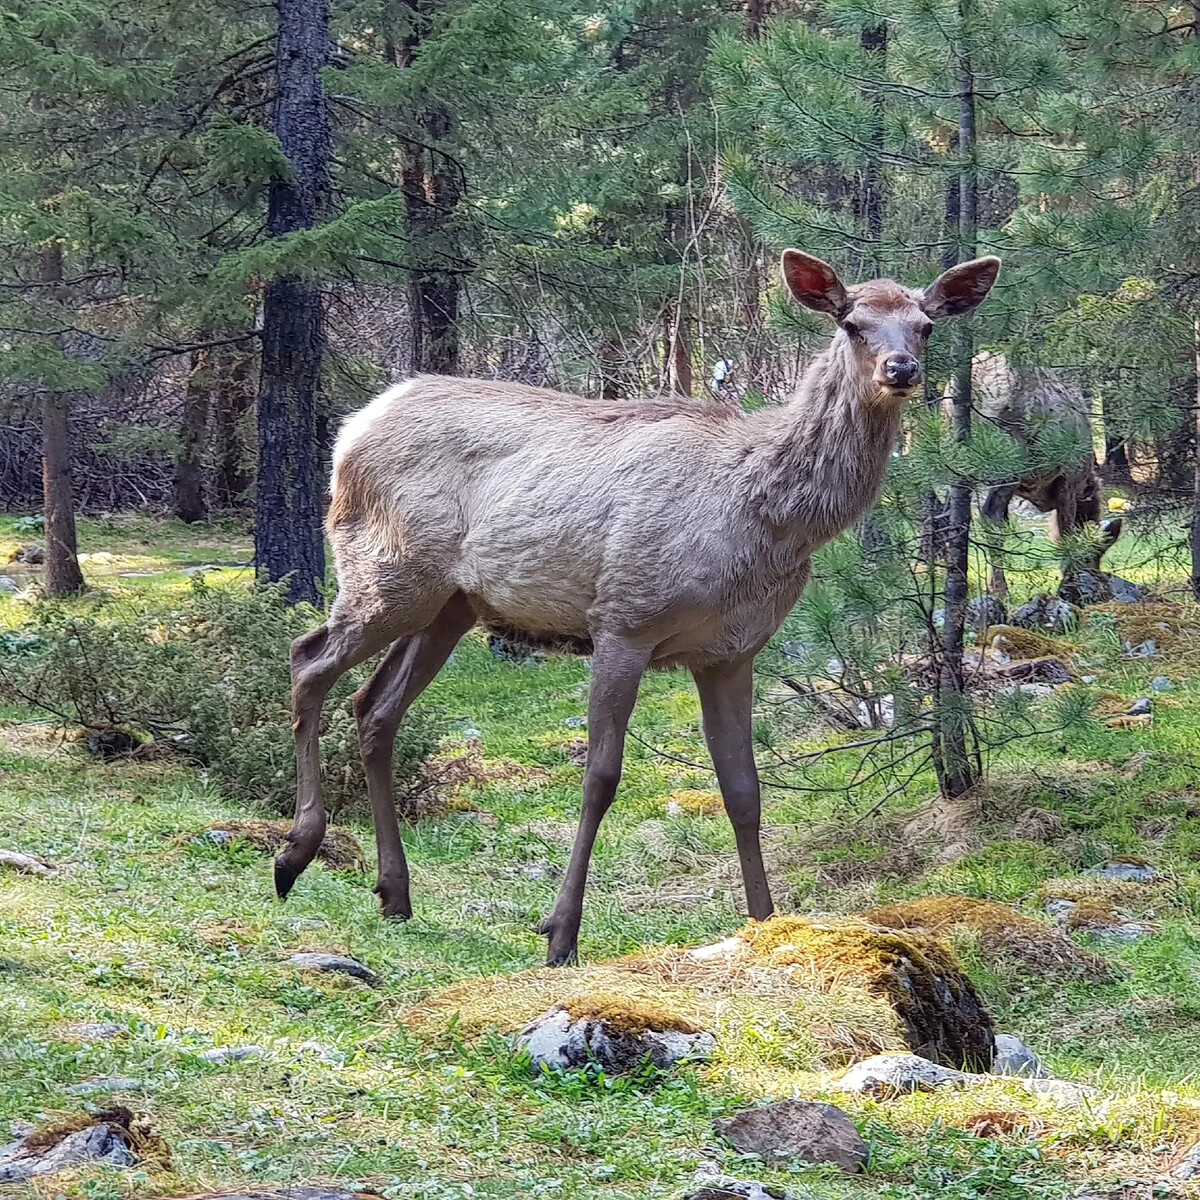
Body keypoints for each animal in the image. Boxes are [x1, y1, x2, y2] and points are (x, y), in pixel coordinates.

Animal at [276, 248, 998, 960]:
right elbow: (600, 777)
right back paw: (295, 853)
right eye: (851, 323)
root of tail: (353, 429)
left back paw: (394, 893)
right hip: (386, 574)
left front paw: (765, 923)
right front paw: (561, 932)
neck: (761, 519)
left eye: (925, 325)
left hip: (450, 604)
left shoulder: (731, 653)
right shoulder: (623, 619)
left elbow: (744, 789)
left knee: (374, 707)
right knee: (307, 659)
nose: (900, 369)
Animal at [960, 350, 1118, 597]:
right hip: (1008, 458)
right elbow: (1067, 533)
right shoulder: (1068, 480)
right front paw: (1069, 583)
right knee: (990, 515)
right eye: (1095, 557)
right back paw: (999, 588)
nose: (1100, 586)